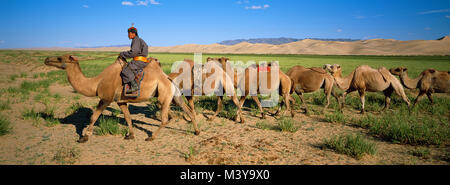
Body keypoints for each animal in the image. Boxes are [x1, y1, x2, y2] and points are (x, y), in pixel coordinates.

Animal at [44, 54, 199, 142]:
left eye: (59, 58)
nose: (46, 59)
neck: (96, 83)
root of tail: (168, 78)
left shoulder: (106, 98)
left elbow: (94, 117)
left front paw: (84, 137)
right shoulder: (121, 101)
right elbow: (128, 117)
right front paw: (130, 135)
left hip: (164, 95)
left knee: (165, 118)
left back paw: (151, 137)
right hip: (174, 95)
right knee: (188, 110)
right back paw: (196, 131)